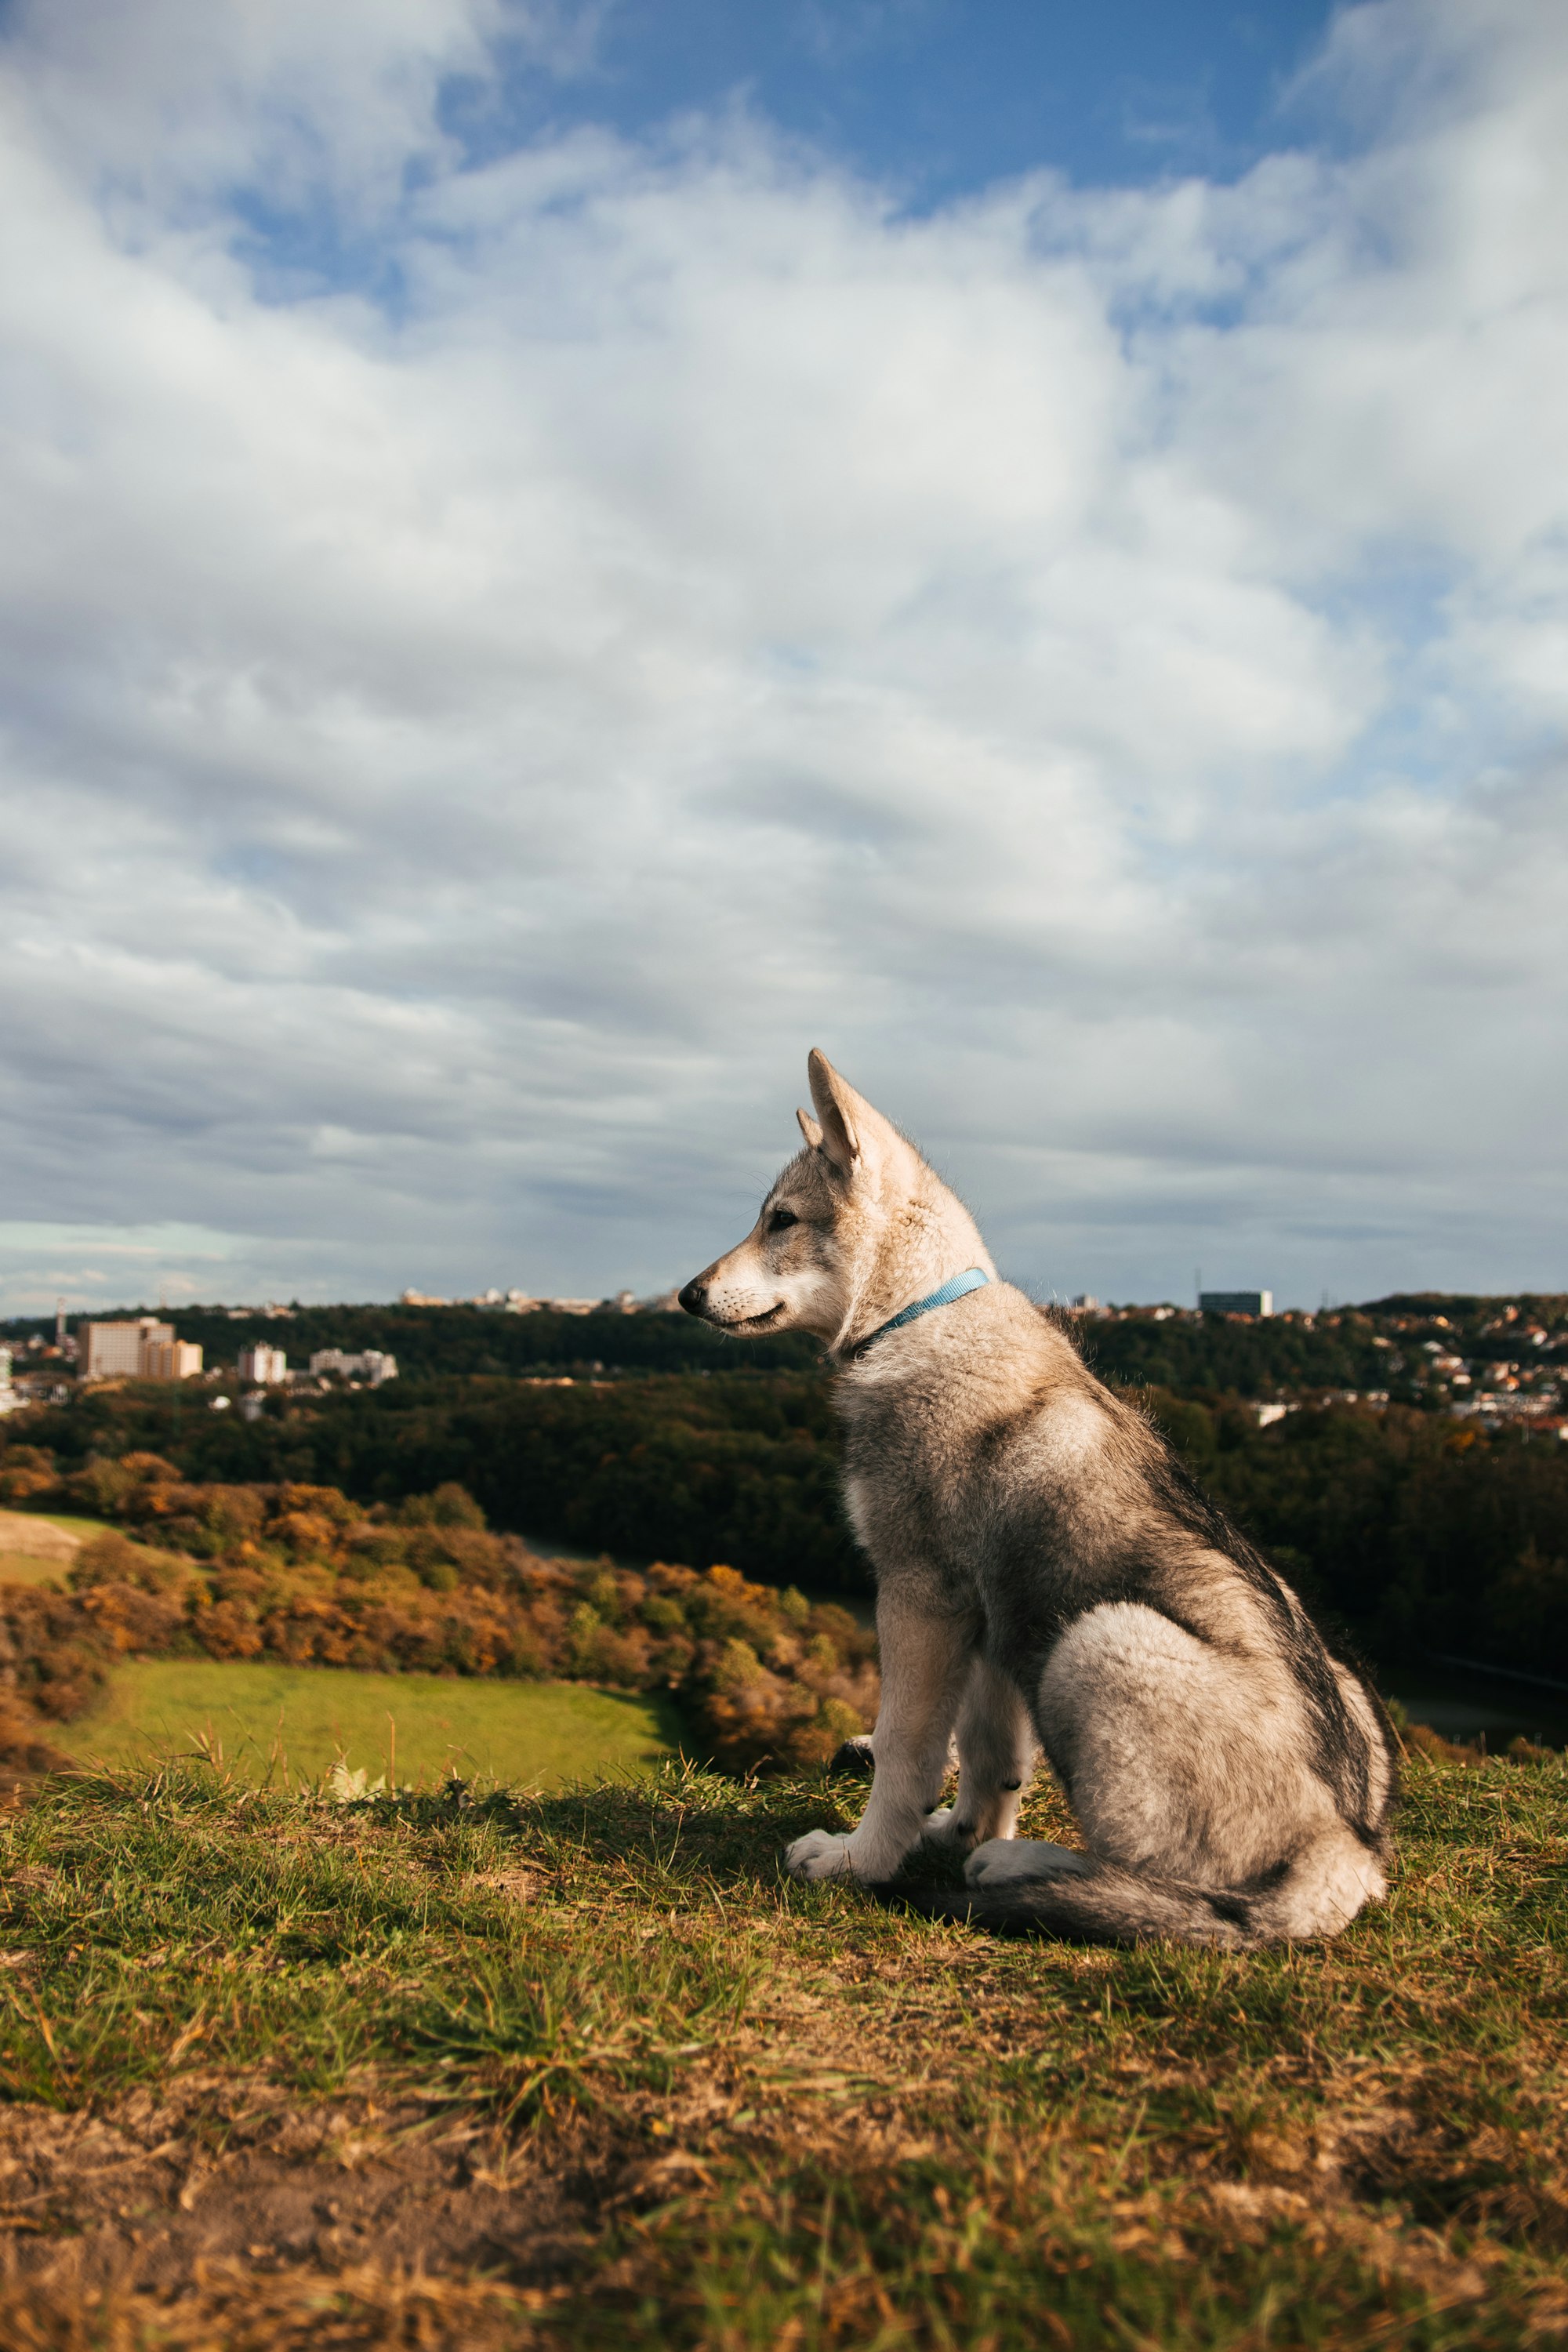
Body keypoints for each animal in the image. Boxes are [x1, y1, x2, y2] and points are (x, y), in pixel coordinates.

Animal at [681, 1054, 1392, 1947]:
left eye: (780, 1221)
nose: (685, 1296)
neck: (919, 1319)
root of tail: (1343, 1857)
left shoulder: (919, 1597)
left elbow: (904, 1752)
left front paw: (861, 1861)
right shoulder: (990, 1621)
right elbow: (990, 1762)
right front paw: (952, 1832)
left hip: (1097, 1640)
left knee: (1160, 1892)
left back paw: (1020, 1868)